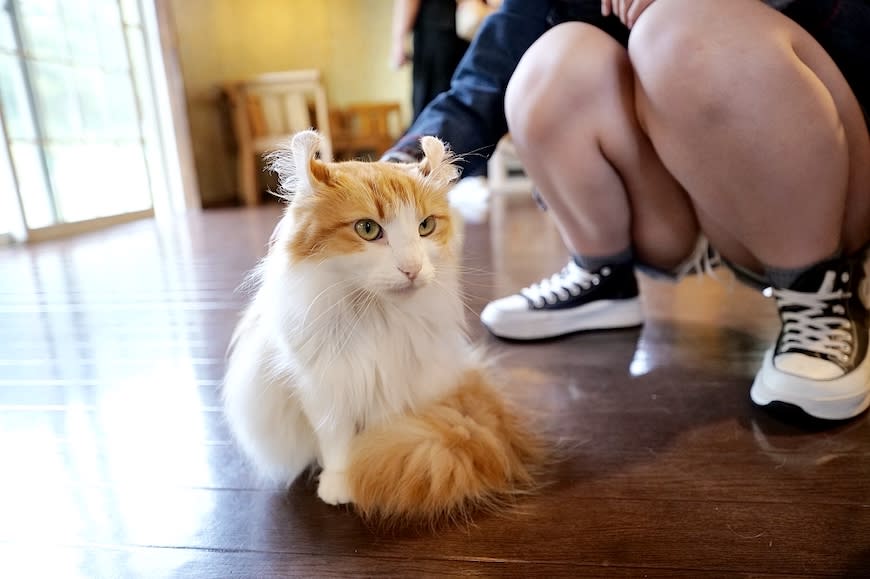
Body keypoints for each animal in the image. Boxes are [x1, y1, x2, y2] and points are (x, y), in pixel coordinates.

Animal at [221, 131, 540, 524]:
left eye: (425, 226)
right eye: (368, 229)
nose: (412, 268)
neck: (374, 315)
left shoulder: (393, 384)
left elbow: (381, 434)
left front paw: (369, 464)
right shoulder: (324, 389)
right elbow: (336, 442)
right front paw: (339, 480)